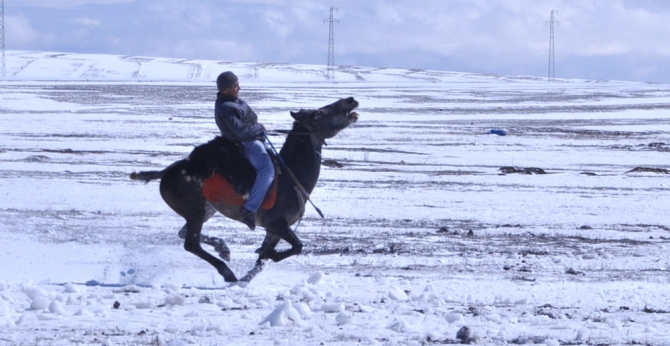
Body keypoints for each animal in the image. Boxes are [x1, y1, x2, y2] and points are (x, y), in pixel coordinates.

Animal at [133, 97, 362, 284]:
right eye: (320, 113)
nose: (350, 100)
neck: (291, 176)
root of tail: (167, 171)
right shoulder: (275, 223)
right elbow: (296, 246)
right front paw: (265, 257)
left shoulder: (275, 230)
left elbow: (263, 261)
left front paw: (248, 276)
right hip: (195, 211)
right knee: (191, 244)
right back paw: (227, 271)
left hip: (205, 210)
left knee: (184, 234)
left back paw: (223, 249)